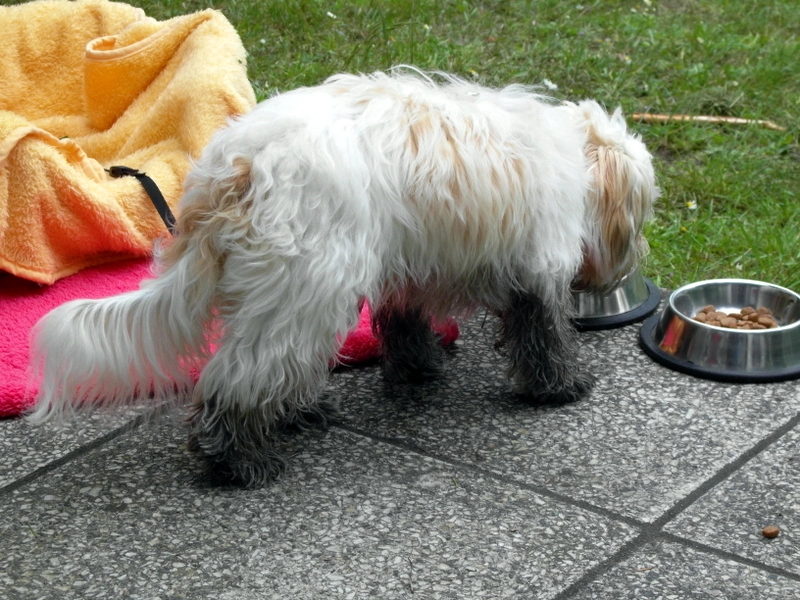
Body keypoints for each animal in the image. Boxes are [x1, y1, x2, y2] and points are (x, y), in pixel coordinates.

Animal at [29, 69, 657, 487]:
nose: (634, 258)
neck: (573, 150)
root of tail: (235, 168)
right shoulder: (540, 265)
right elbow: (543, 332)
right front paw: (561, 388)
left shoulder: (410, 265)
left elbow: (404, 322)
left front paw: (418, 370)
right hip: (305, 285)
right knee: (237, 380)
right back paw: (239, 461)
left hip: (291, 289)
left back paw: (293, 414)